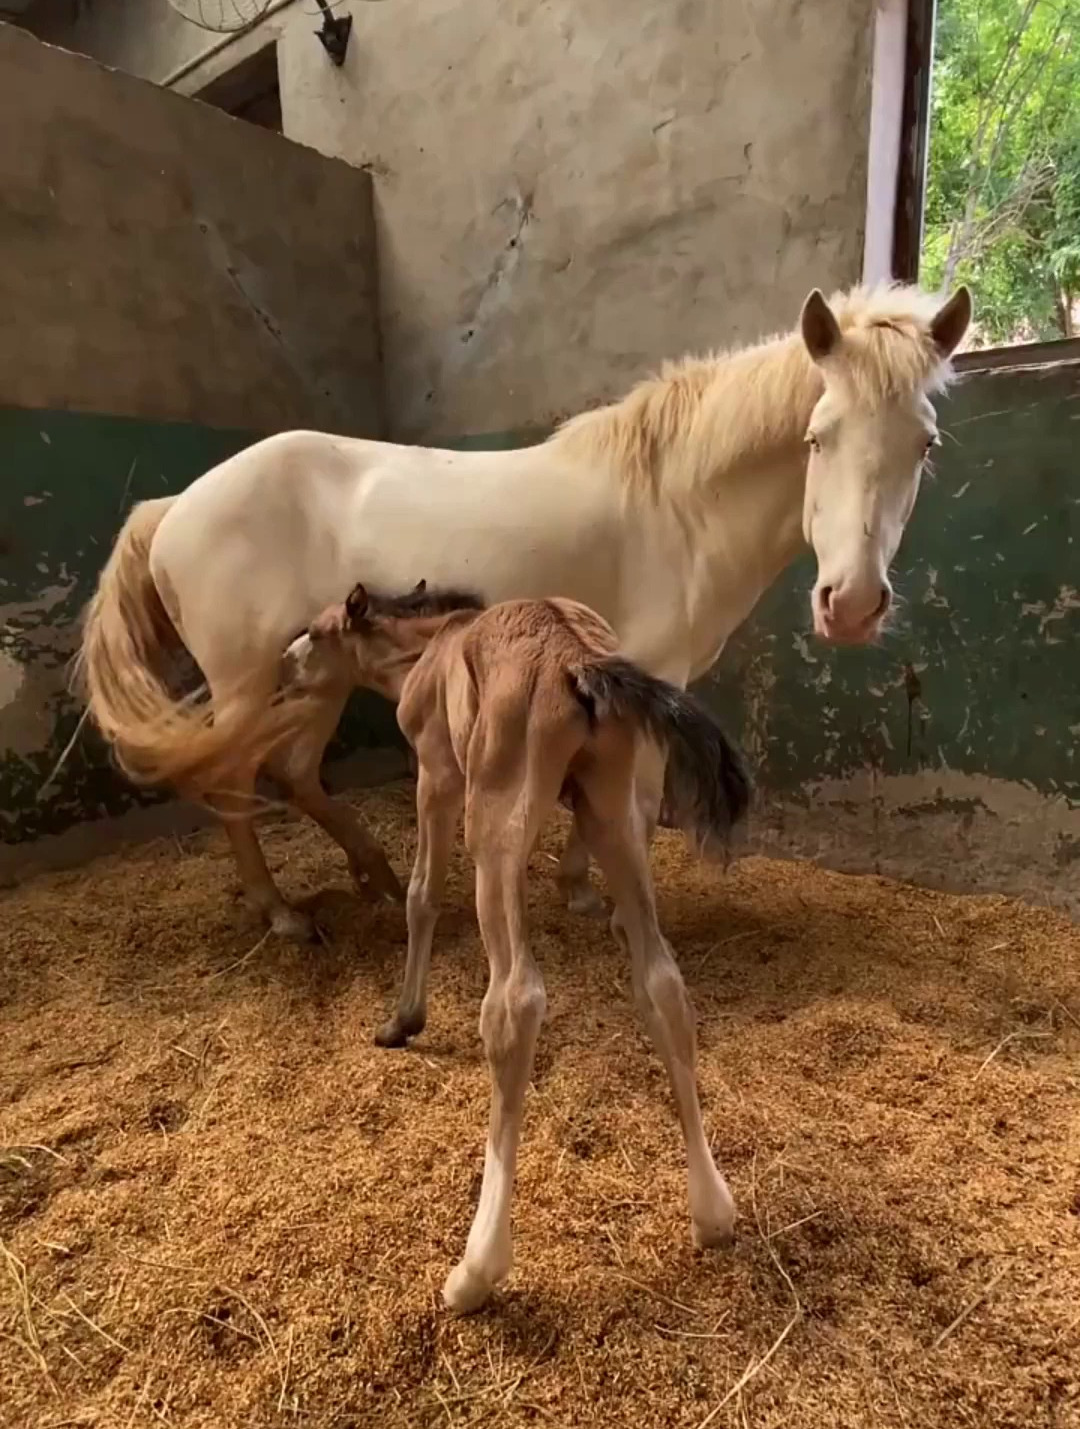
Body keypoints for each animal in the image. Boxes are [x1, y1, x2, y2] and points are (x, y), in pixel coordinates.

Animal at [78, 284, 971, 943]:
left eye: (925, 443)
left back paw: (376, 876)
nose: (851, 605)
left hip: (317, 671)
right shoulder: (654, 672)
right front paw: (607, 901)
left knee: (295, 772)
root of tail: (175, 506)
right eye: (818, 436)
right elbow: (631, 800)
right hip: (244, 683)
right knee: (234, 782)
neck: (677, 503)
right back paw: (284, 914)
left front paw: (577, 887)